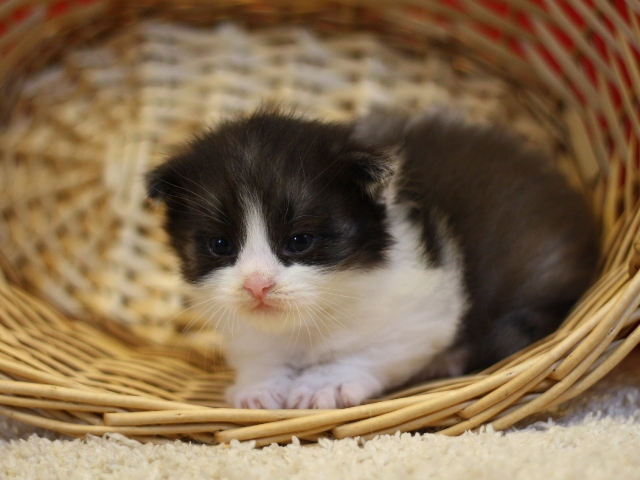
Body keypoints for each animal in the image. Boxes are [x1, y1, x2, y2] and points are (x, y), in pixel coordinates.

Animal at [148, 108, 596, 408]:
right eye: (220, 245)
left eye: (299, 240)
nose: (257, 285)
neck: (311, 318)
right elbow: (259, 350)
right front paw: (259, 385)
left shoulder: (424, 308)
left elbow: (375, 350)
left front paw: (323, 383)